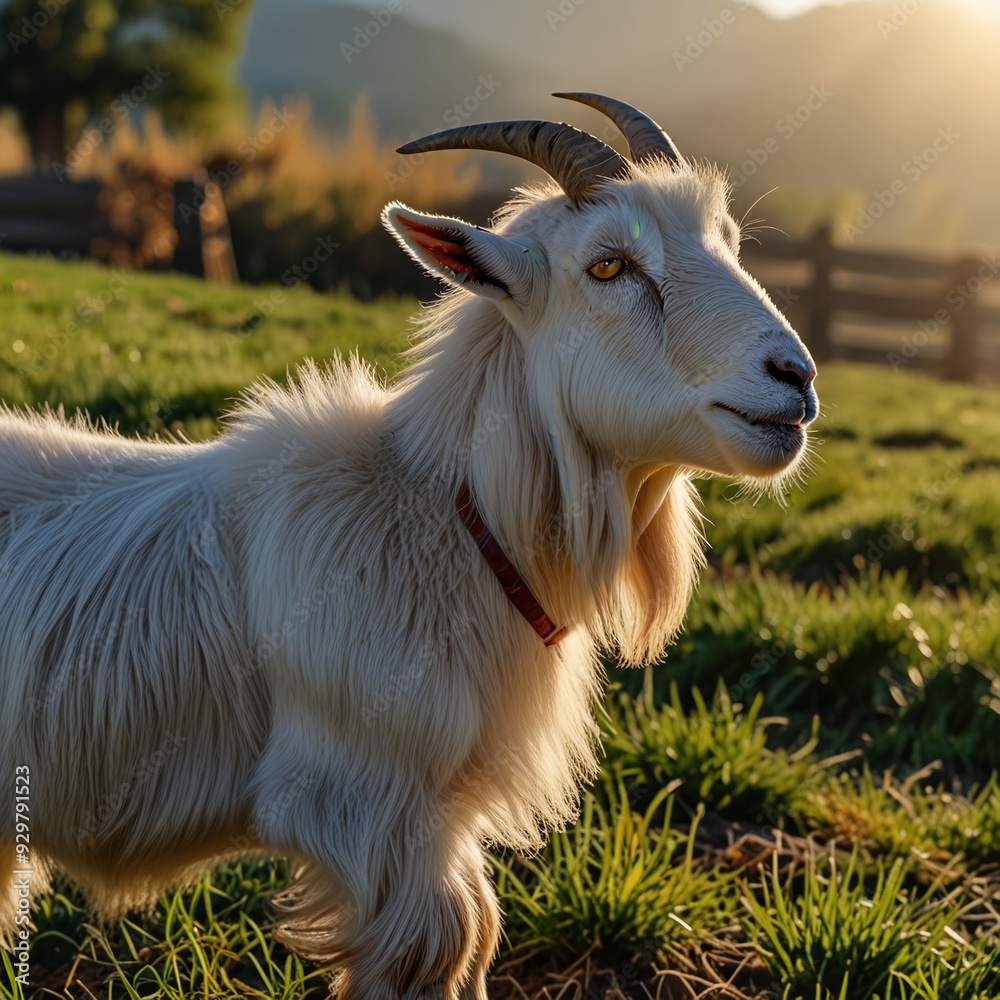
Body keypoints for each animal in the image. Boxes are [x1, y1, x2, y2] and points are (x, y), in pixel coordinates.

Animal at [0, 94, 818, 999]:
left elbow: (474, 936)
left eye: (728, 243)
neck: (442, 524)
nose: (795, 377)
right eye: (608, 265)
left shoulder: (442, 813)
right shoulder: (366, 803)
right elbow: (443, 946)